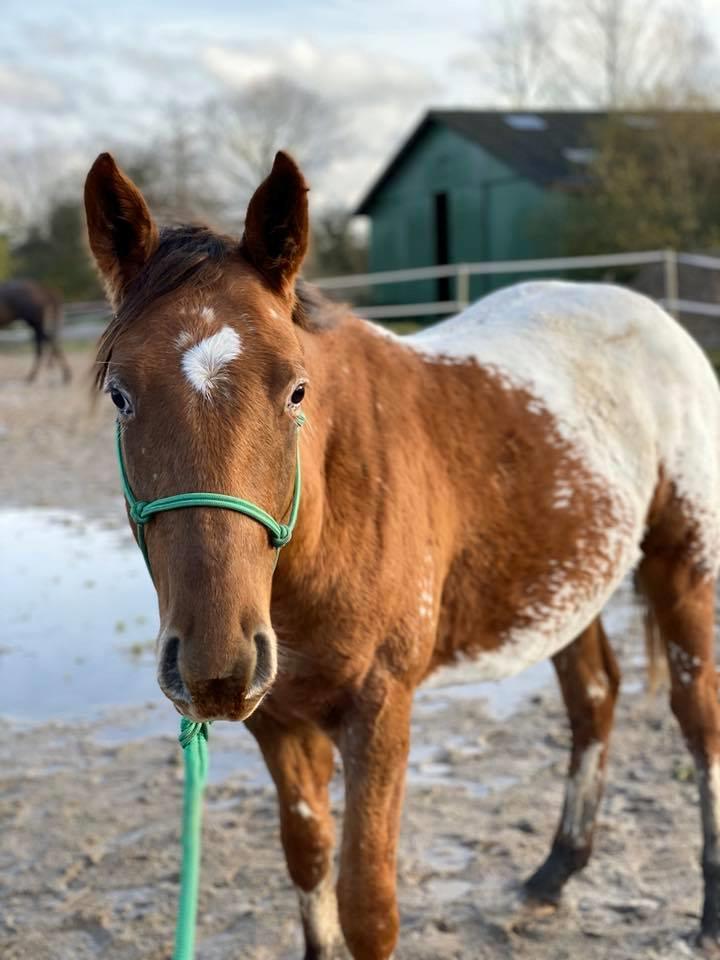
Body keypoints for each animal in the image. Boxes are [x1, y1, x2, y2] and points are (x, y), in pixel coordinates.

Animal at [86, 150, 720, 960]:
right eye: (120, 395)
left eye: (296, 390)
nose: (215, 665)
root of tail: (653, 318)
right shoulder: (279, 722)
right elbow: (310, 865)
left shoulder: (381, 710)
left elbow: (368, 906)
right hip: (566, 592)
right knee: (595, 701)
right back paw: (556, 870)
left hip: (683, 566)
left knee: (697, 720)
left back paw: (708, 909)